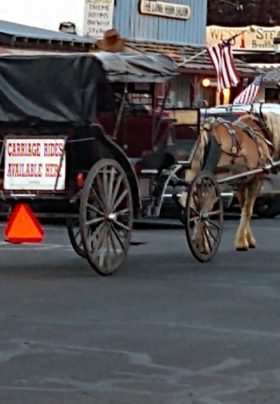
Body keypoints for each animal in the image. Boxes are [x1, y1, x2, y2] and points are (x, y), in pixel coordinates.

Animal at [184, 109, 280, 251]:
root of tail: (208, 130)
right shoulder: (256, 181)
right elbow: (248, 210)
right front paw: (242, 242)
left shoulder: (240, 184)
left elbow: (244, 209)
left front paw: (247, 238)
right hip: (213, 183)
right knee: (204, 210)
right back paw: (204, 244)